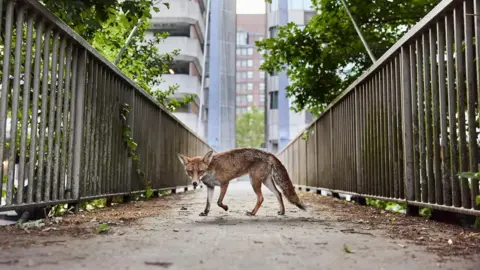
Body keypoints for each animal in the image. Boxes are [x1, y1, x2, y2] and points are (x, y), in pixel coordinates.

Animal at [177, 149, 308, 216]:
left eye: (200, 171)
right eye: (190, 171)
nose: (194, 183)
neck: (211, 170)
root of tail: (268, 153)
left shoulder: (225, 183)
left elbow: (219, 202)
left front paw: (226, 208)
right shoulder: (211, 187)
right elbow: (208, 203)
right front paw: (205, 213)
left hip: (254, 181)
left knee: (261, 198)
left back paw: (252, 213)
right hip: (266, 182)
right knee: (279, 194)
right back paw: (282, 211)